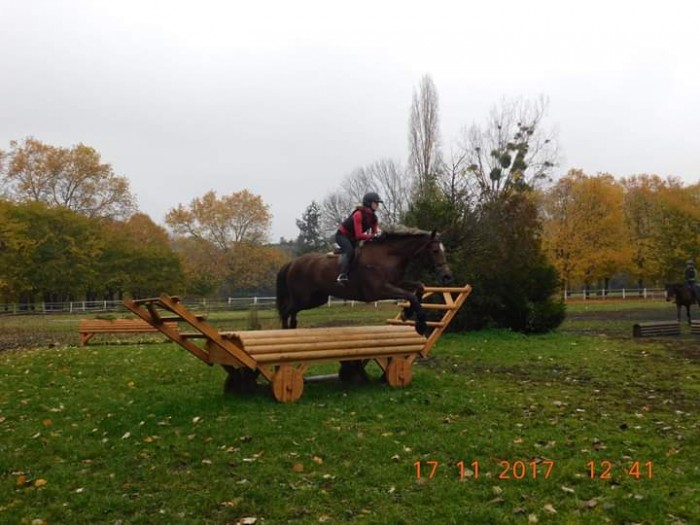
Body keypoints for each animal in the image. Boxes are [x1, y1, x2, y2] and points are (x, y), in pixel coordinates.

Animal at [276, 227, 452, 334]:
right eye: (435, 251)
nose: (447, 276)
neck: (388, 256)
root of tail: (292, 263)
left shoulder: (396, 283)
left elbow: (419, 287)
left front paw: (407, 314)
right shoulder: (380, 290)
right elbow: (411, 295)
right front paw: (420, 324)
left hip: (316, 299)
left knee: (292, 311)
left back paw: (291, 329)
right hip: (304, 297)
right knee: (286, 310)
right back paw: (284, 332)